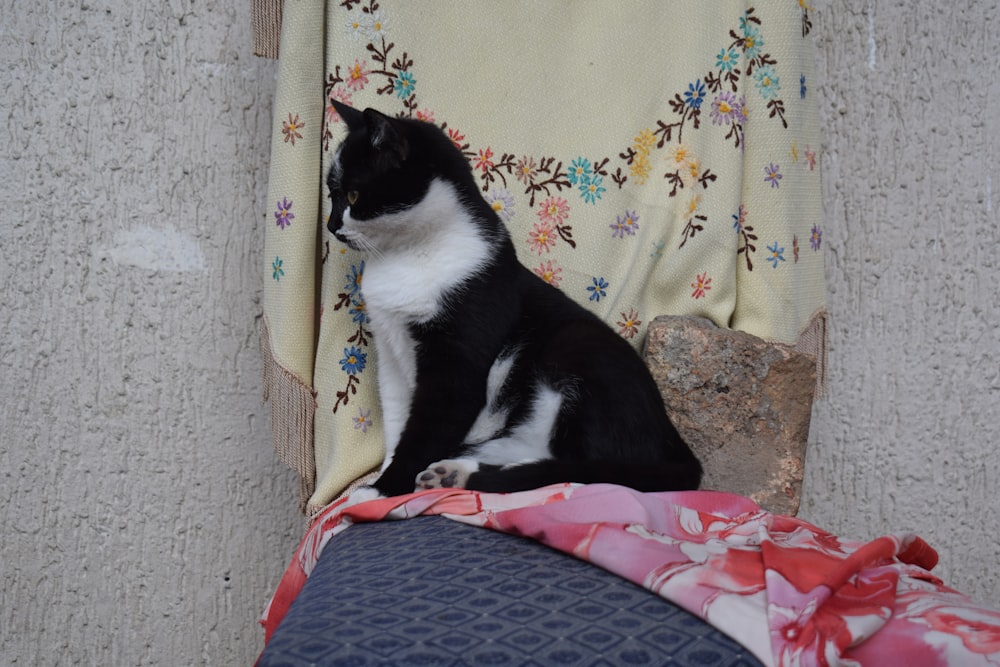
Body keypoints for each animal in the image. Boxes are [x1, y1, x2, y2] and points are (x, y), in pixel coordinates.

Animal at [328, 102, 704, 498]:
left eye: (353, 197)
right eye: (331, 195)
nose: (331, 226)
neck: (408, 254)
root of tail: (673, 438)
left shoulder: (459, 354)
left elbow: (429, 425)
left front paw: (382, 489)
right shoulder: (389, 347)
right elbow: (398, 415)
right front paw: (387, 472)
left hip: (577, 346)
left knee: (585, 466)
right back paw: (453, 473)